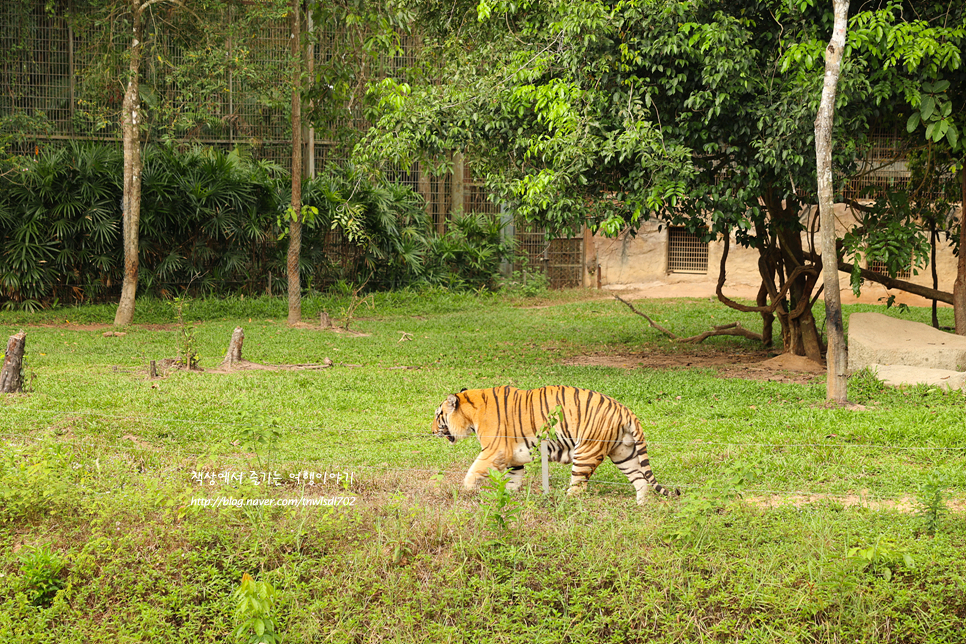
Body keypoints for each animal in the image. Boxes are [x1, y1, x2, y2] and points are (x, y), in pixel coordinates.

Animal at [432, 384, 680, 500]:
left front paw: (465, 492)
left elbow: (473, 471)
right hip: (623, 453)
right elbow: (513, 479)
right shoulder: (513, 457)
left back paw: (562, 503)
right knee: (641, 480)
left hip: (586, 451)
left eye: (438, 415)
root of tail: (624, 409)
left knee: (578, 488)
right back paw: (641, 507)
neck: (471, 413)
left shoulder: (494, 450)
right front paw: (509, 497)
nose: (432, 431)